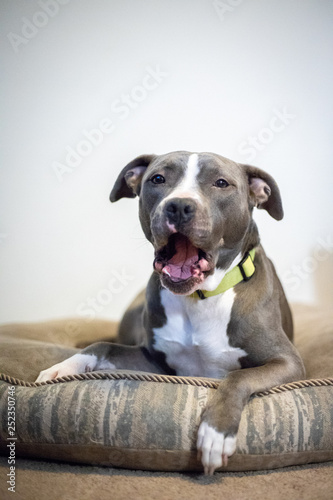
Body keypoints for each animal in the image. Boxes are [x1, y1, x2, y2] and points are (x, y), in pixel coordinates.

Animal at [36, 152, 304, 476]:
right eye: (158, 179)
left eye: (221, 183)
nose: (179, 206)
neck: (199, 298)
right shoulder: (156, 362)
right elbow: (102, 346)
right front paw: (63, 367)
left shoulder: (287, 362)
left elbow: (238, 377)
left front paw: (215, 434)